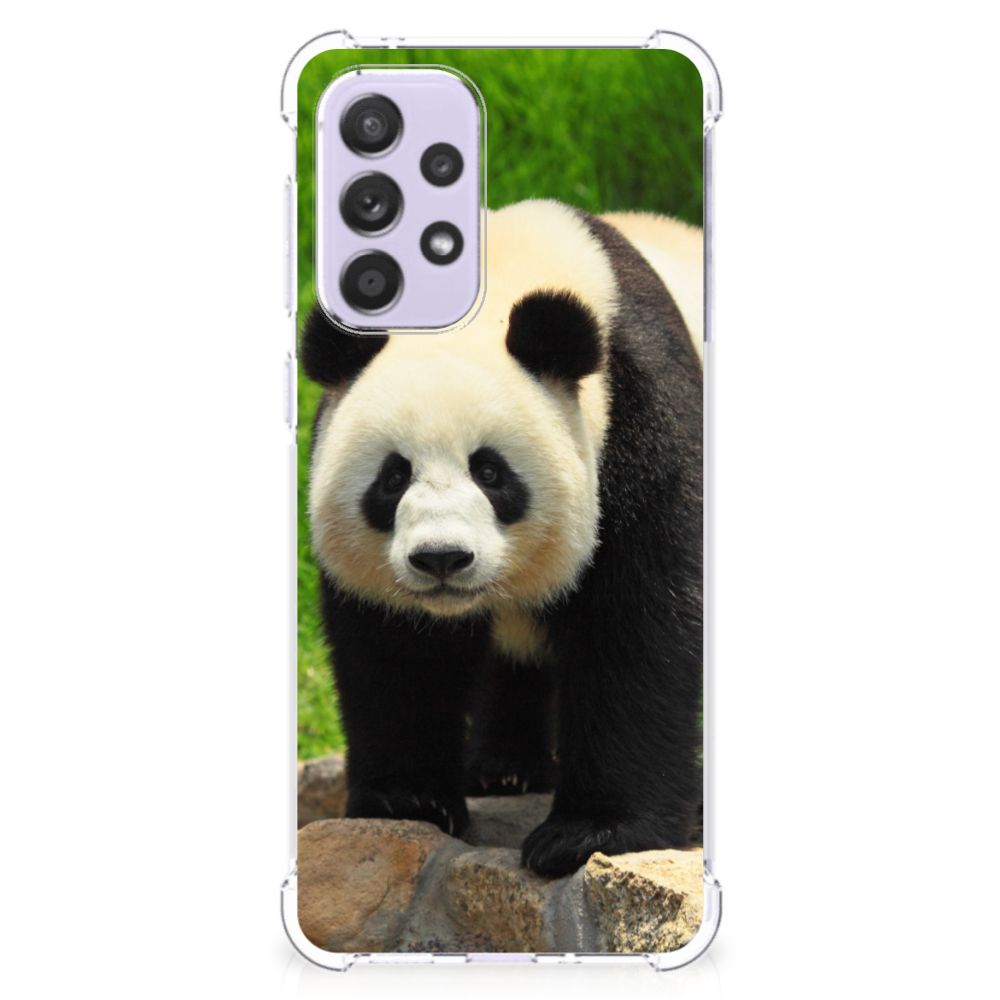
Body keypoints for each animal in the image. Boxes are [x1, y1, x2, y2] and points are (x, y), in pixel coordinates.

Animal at [302, 200, 703, 877]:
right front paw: (408, 799)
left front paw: (589, 832)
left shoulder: (642, 419)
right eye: (393, 477)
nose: (441, 558)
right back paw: (504, 769)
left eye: (490, 472)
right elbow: (396, 650)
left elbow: (640, 625)